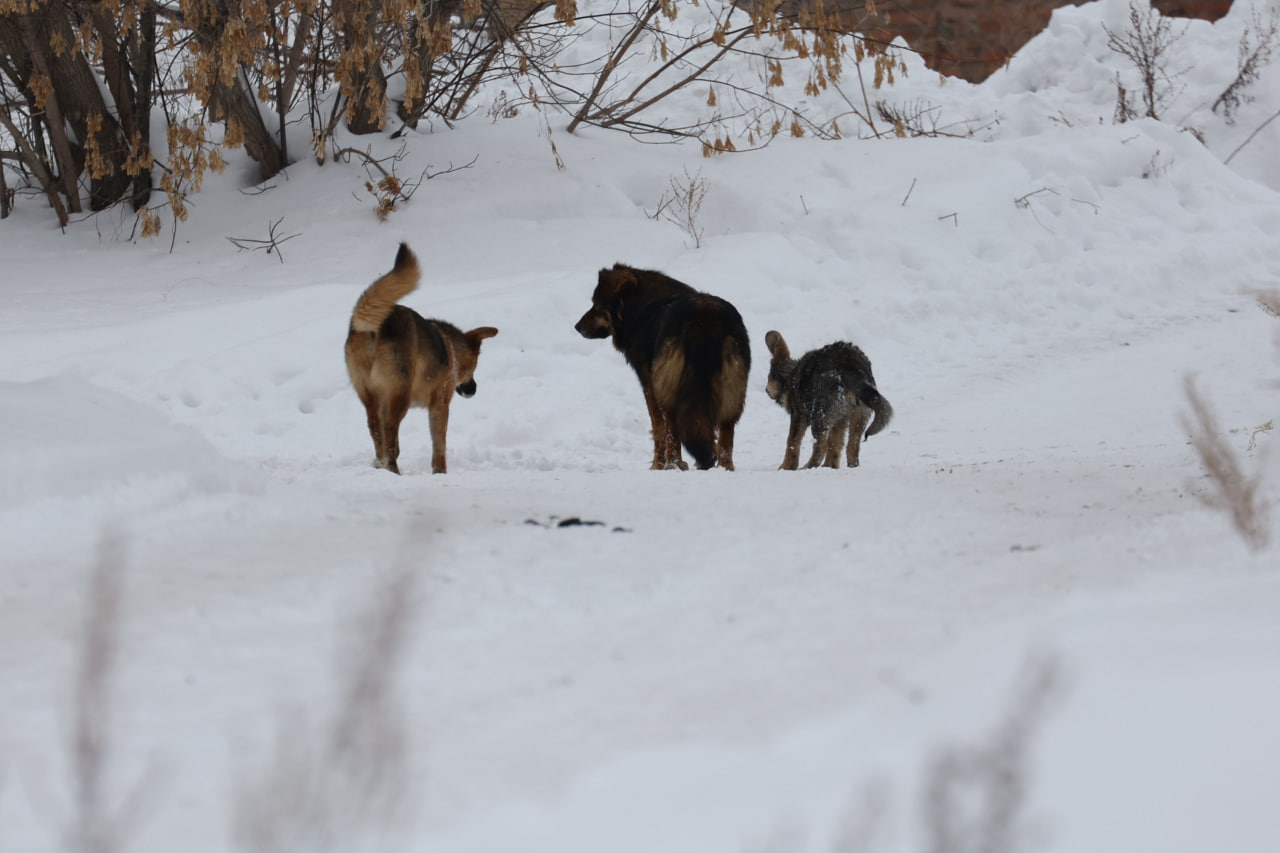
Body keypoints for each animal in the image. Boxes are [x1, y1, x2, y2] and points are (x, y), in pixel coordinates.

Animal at [345, 242, 499, 473]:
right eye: (474, 367)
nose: (473, 390)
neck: (452, 350)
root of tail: (374, 326)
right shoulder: (440, 404)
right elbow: (439, 446)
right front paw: (440, 473)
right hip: (400, 394)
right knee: (389, 429)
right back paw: (392, 469)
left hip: (369, 395)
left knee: (375, 428)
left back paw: (381, 465)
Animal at [573, 262, 747, 468]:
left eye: (596, 304)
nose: (577, 327)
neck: (640, 307)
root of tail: (705, 320)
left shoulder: (649, 384)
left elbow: (658, 428)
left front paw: (657, 465)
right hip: (731, 392)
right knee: (725, 435)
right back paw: (723, 467)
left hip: (670, 386)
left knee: (673, 430)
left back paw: (673, 465)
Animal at [762, 327, 896, 468]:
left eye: (769, 376)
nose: (766, 390)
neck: (790, 377)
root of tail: (850, 367)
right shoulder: (840, 420)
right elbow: (835, 445)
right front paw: (831, 466)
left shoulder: (799, 415)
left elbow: (792, 442)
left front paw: (786, 467)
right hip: (860, 414)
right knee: (852, 446)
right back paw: (838, 466)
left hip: (819, 417)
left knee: (821, 447)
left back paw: (808, 467)